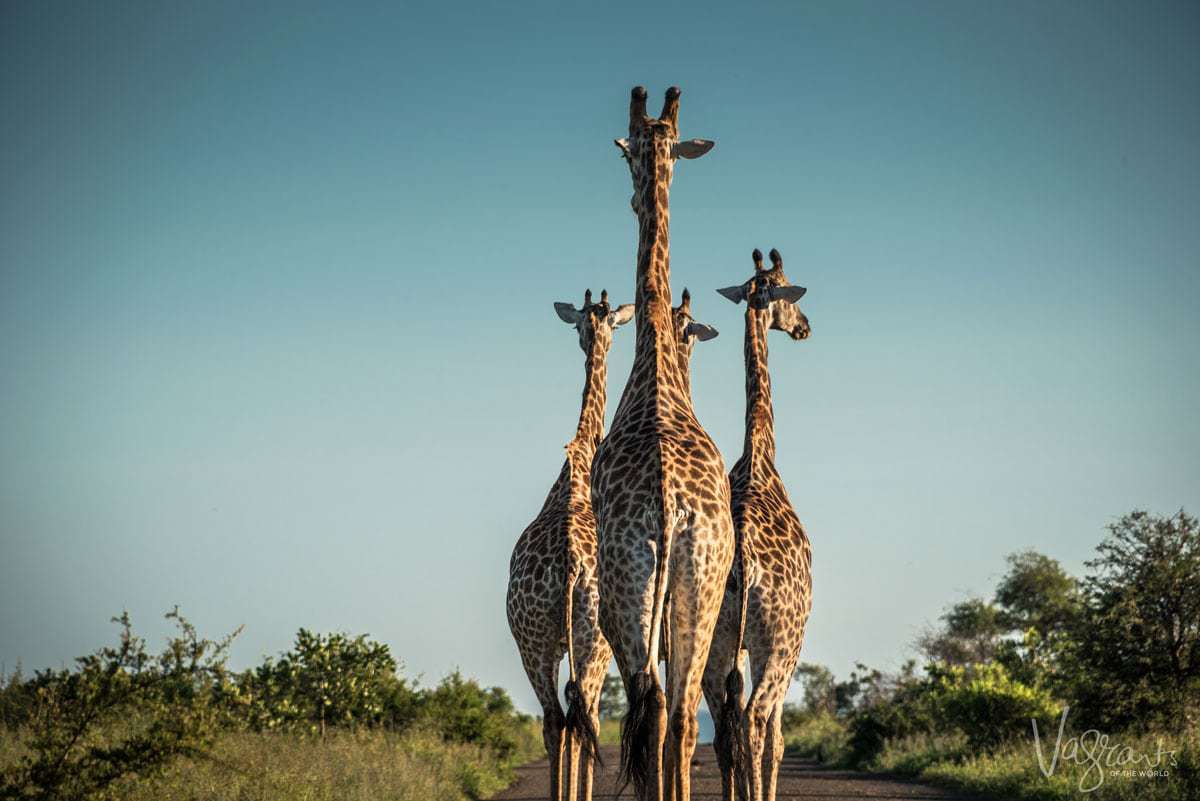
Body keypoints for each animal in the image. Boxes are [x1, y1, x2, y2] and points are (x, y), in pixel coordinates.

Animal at [508, 287, 638, 801]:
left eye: (590, 325)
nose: (593, 337)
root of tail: (567, 565)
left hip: (532, 640)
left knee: (555, 720)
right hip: (592, 642)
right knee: (585, 719)